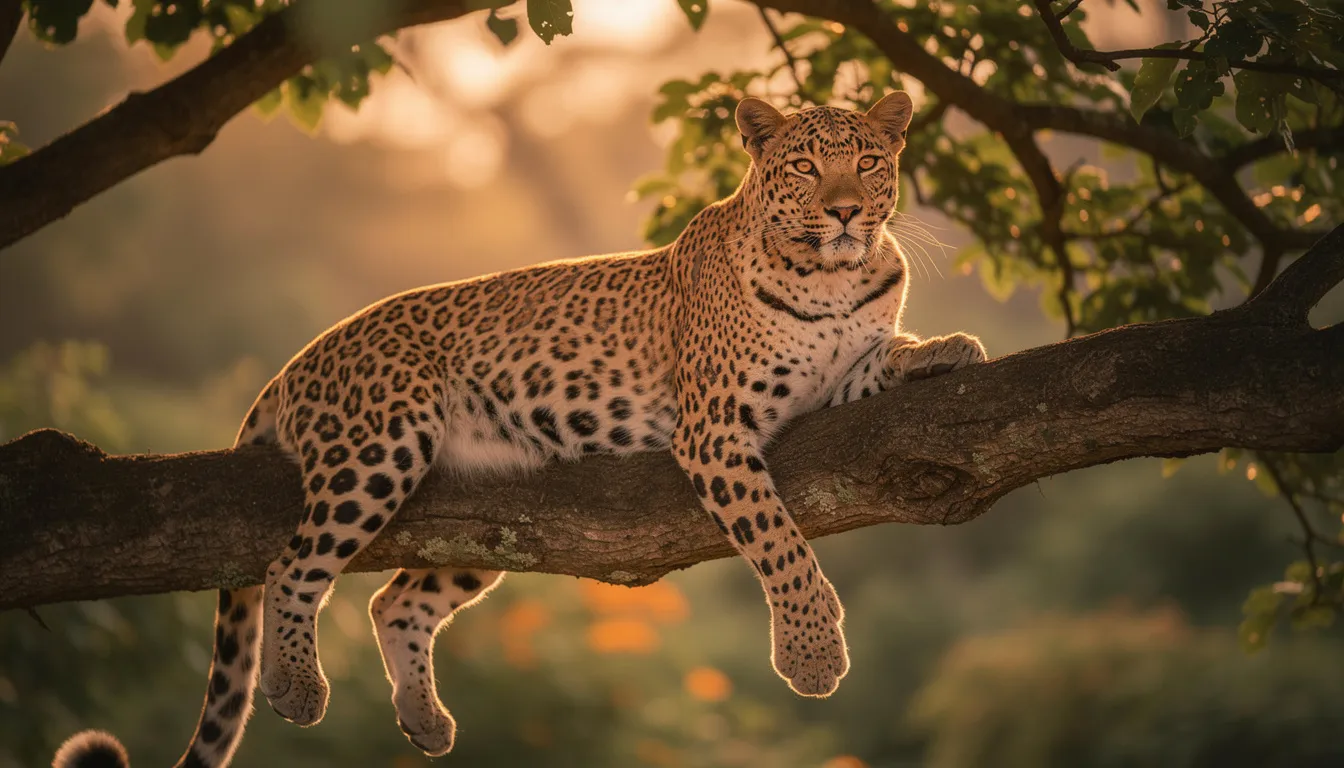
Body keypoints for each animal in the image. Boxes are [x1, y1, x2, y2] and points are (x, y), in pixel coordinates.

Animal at [53, 91, 986, 768]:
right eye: (803, 166)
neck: (835, 276)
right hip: (380, 446)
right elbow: (781, 543)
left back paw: (424, 720)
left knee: (393, 601)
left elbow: (881, 357)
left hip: (488, 526)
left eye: (868, 162)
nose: (845, 211)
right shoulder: (716, 428)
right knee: (292, 565)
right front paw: (812, 656)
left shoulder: (835, 379)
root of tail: (296, 365)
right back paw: (296, 686)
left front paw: (949, 347)